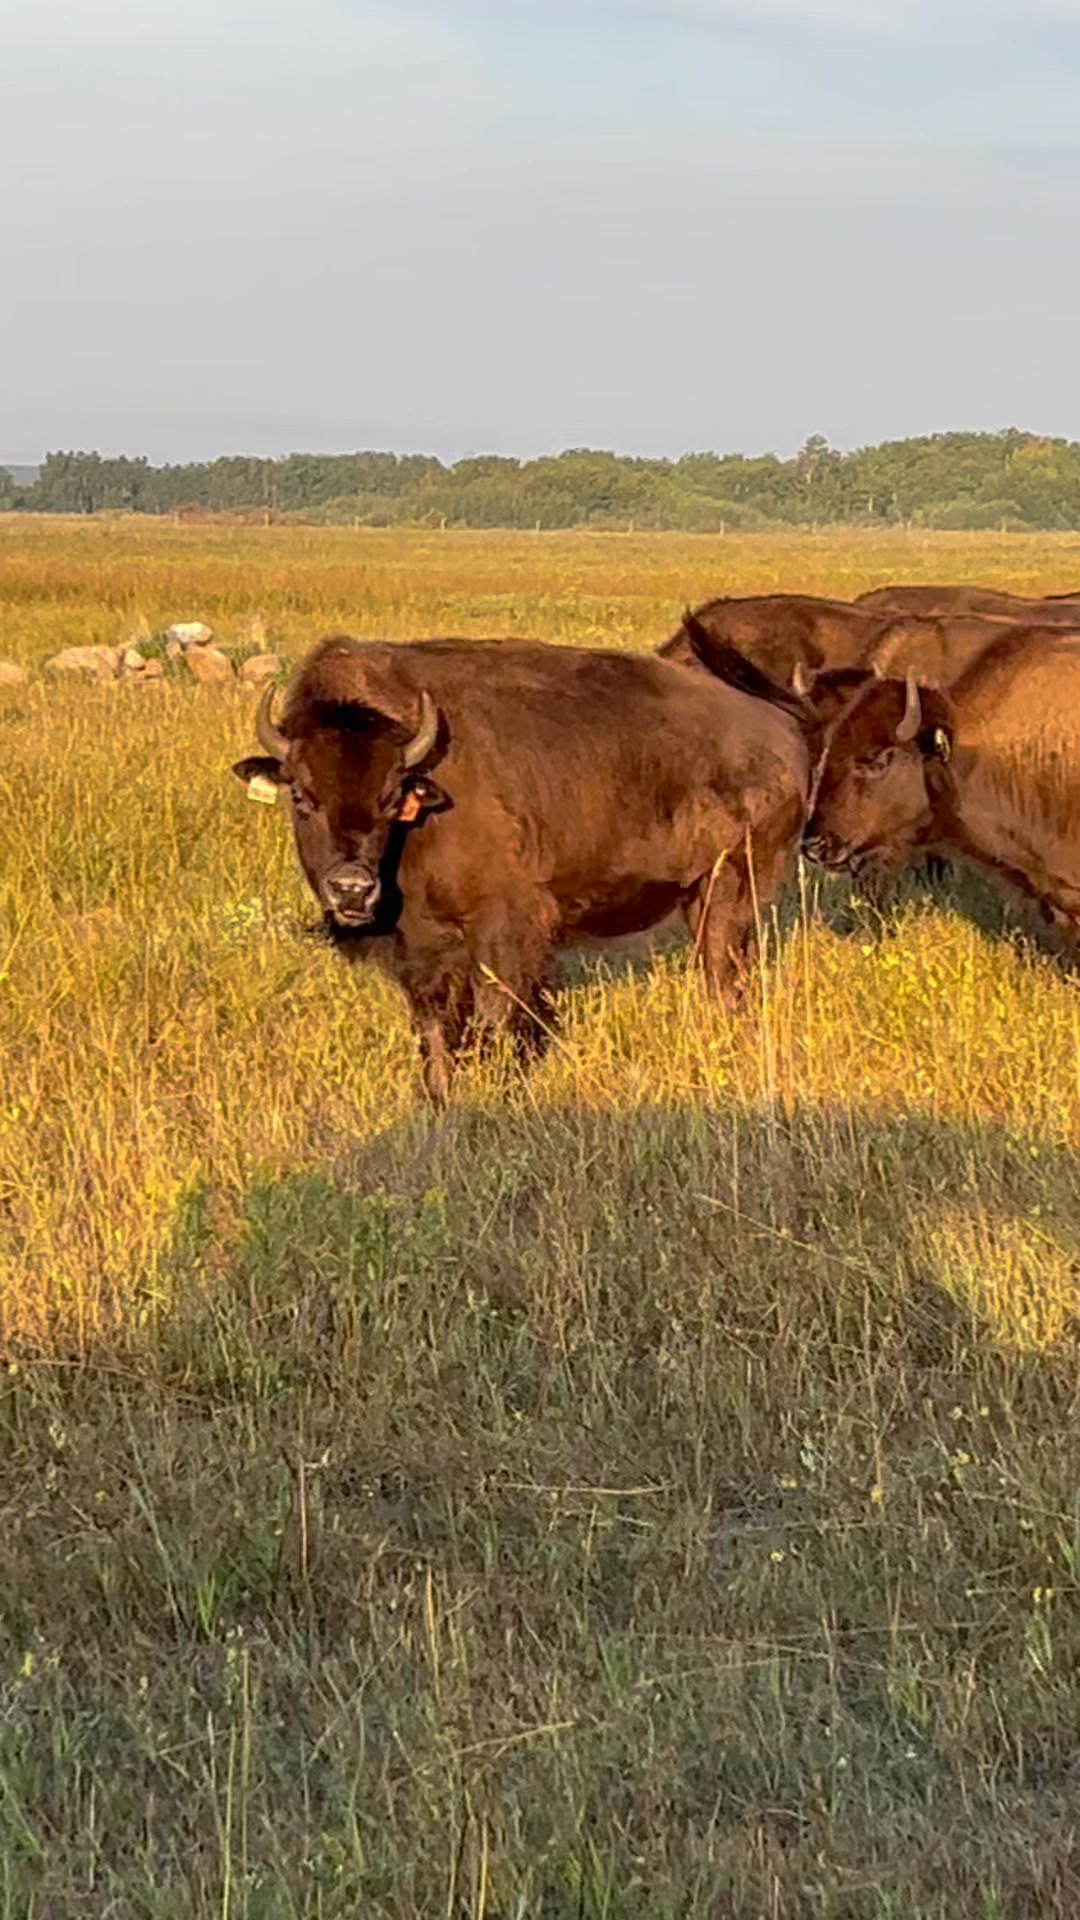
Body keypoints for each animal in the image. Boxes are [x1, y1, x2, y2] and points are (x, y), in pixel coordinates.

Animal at [232, 635, 810, 1099]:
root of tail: (781, 730)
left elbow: (494, 1021)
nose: (352, 890)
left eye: (392, 797)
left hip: (730, 887)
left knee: (724, 975)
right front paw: (440, 1098)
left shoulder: (503, 928)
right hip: (699, 895)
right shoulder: (421, 945)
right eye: (301, 796)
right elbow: (435, 1030)